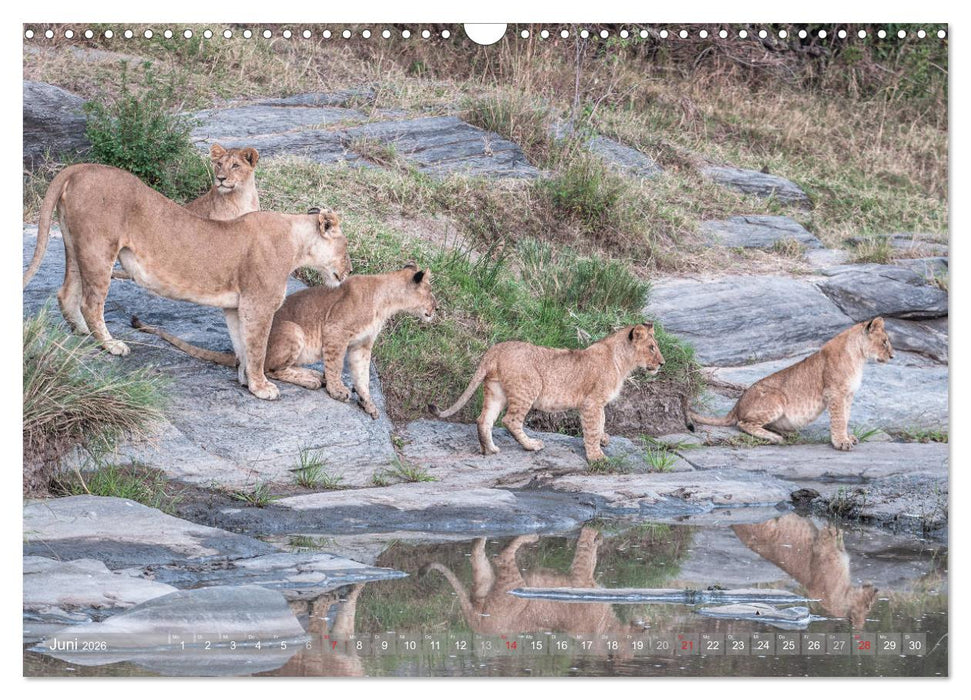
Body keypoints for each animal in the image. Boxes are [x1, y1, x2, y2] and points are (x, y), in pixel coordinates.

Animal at [23, 163, 352, 401]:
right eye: (346, 248)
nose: (350, 270)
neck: (296, 242)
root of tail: (79, 168)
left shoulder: (236, 307)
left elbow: (242, 347)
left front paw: (246, 381)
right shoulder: (258, 304)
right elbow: (258, 348)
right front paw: (262, 387)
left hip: (74, 244)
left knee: (66, 293)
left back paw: (81, 333)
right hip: (98, 249)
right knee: (91, 303)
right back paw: (110, 344)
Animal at [132, 264, 437, 418]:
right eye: (431, 295)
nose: (436, 310)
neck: (386, 302)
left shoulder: (362, 345)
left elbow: (362, 376)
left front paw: (369, 403)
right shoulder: (336, 331)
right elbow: (336, 366)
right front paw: (338, 391)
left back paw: (313, 376)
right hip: (293, 330)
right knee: (267, 368)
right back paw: (311, 379)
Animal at [434, 324, 665, 462]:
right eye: (652, 347)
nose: (662, 363)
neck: (622, 361)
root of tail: (495, 349)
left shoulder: (597, 404)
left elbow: (601, 423)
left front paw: (603, 440)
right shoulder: (592, 402)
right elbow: (592, 428)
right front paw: (596, 457)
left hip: (495, 390)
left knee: (484, 419)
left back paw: (490, 450)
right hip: (528, 387)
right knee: (510, 420)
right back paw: (531, 445)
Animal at [686, 317, 894, 450]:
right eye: (884, 342)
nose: (893, 356)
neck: (859, 357)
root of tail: (736, 406)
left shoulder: (848, 395)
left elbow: (846, 417)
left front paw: (846, 437)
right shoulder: (834, 393)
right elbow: (838, 419)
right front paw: (841, 442)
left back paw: (787, 434)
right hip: (776, 399)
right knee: (743, 423)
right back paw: (775, 437)